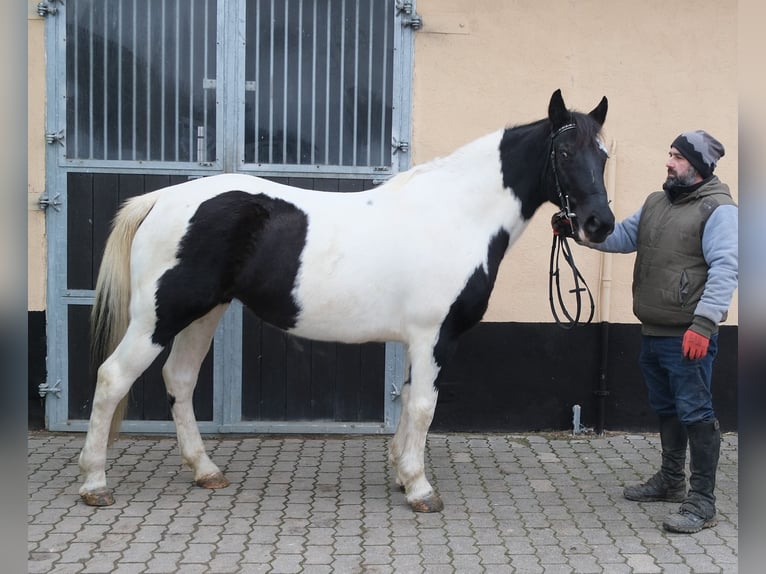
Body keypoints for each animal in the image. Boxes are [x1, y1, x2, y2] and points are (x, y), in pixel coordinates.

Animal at [78, 89, 615, 512]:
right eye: (564, 151)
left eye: (605, 156)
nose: (600, 224)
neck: (457, 215)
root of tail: (161, 200)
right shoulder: (433, 337)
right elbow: (425, 406)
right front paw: (420, 489)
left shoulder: (418, 342)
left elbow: (409, 403)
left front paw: (401, 473)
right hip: (160, 316)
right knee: (112, 378)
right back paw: (94, 483)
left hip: (203, 313)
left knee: (180, 379)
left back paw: (205, 470)